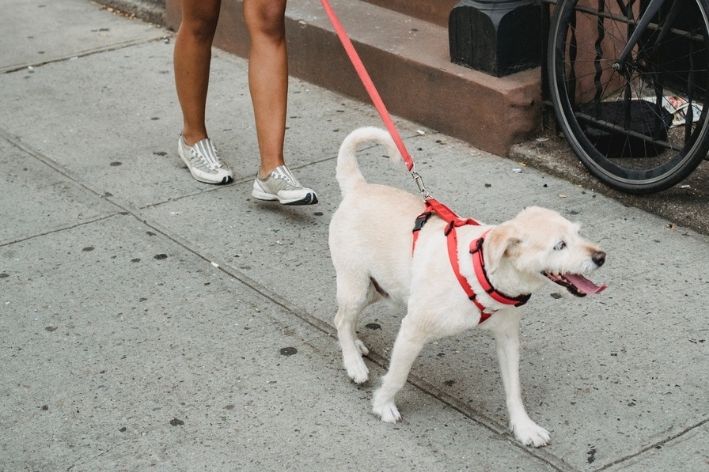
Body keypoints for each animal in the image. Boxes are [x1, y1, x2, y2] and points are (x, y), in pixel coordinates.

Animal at [330, 127, 604, 448]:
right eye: (559, 245)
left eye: (578, 233)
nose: (601, 257)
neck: (481, 269)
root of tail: (358, 188)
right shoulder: (413, 329)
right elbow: (397, 375)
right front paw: (383, 404)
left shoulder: (507, 338)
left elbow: (514, 390)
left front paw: (524, 427)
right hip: (356, 284)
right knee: (341, 318)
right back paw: (353, 363)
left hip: (380, 288)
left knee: (344, 319)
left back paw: (355, 345)